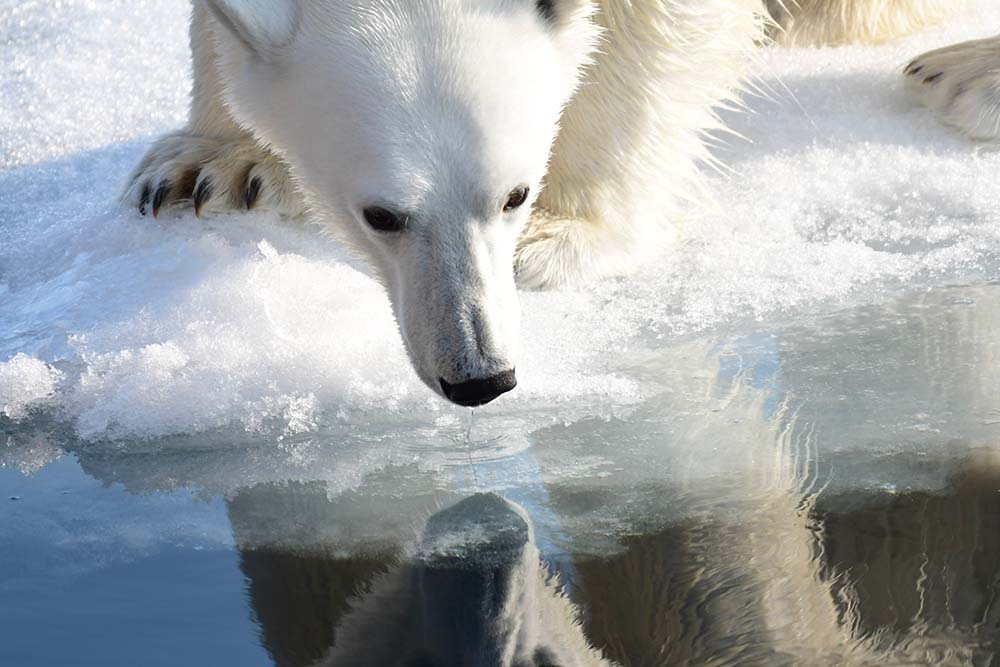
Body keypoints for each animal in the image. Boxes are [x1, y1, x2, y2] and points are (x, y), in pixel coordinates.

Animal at [123, 1, 984, 408]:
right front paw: (214, 162)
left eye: (516, 194)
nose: (479, 375)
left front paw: (567, 232)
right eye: (383, 215)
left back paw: (963, 74)